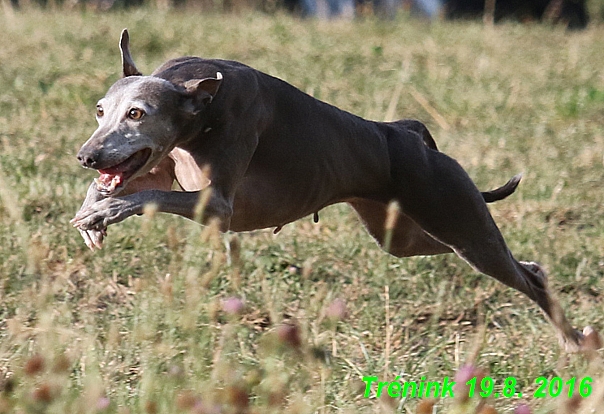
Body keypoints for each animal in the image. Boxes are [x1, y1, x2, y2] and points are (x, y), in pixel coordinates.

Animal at [72, 29, 596, 352]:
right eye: (100, 110)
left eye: (137, 113)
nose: (87, 155)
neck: (197, 103)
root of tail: (407, 133)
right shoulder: (156, 168)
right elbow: (122, 189)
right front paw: (92, 212)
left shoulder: (218, 204)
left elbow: (144, 197)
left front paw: (104, 212)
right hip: (405, 234)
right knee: (516, 265)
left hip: (459, 220)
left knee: (523, 274)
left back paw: (574, 342)